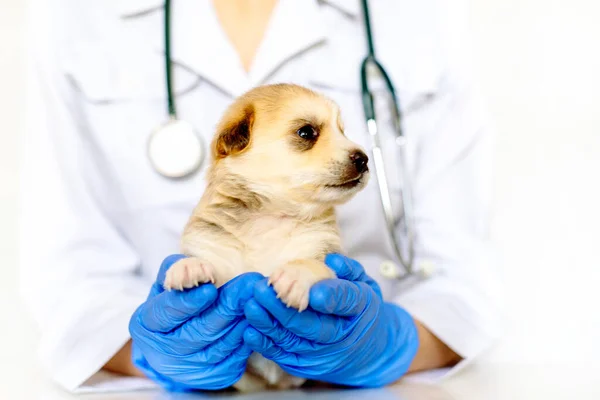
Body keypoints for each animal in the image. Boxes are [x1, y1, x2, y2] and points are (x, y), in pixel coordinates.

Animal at [165, 83, 370, 390]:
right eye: (307, 132)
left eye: (342, 131)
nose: (364, 158)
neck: (271, 214)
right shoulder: (212, 245)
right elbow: (205, 260)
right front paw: (187, 267)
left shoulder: (322, 247)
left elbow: (311, 262)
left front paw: (294, 275)